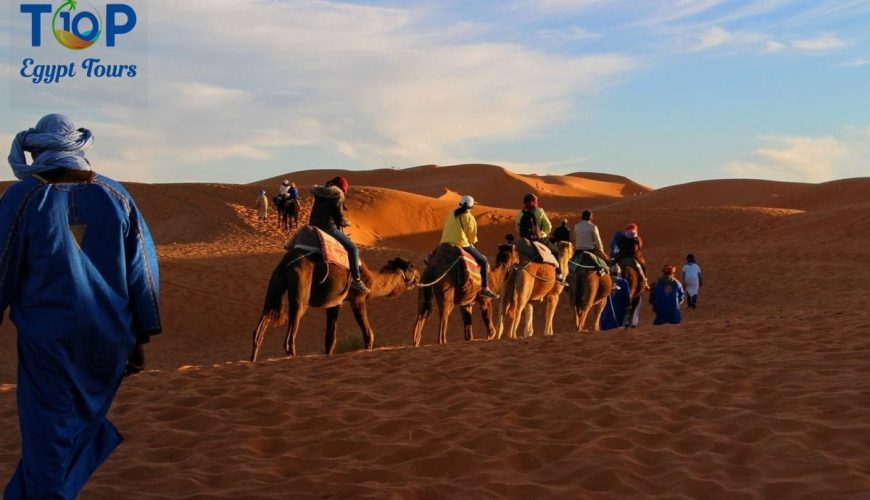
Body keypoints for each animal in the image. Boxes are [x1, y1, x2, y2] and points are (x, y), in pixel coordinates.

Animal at [250, 252, 420, 362]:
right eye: (411, 266)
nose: (419, 276)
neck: (371, 281)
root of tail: (286, 263)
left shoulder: (334, 303)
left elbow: (330, 338)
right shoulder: (357, 299)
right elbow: (368, 333)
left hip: (275, 284)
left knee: (263, 322)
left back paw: (253, 359)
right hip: (301, 290)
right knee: (291, 332)